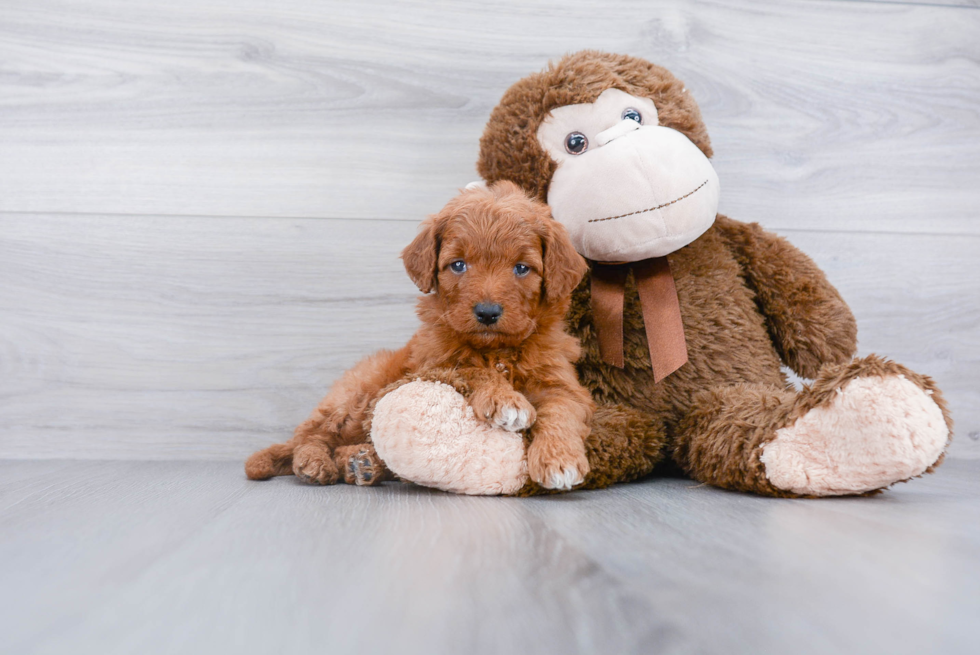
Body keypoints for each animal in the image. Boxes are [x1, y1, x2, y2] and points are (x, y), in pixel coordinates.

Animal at [249, 182, 592, 490]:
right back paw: (315, 462)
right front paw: (503, 399)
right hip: (356, 395)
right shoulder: (433, 366)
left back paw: (361, 463)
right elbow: (470, 369)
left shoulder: (560, 382)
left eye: (522, 268)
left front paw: (560, 459)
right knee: (310, 435)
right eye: (458, 265)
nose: (487, 313)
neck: (496, 350)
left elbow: (561, 411)